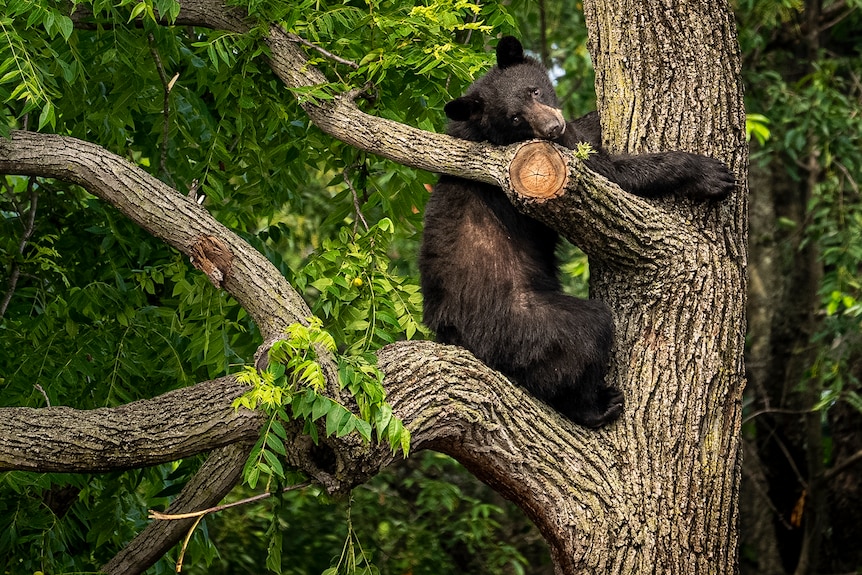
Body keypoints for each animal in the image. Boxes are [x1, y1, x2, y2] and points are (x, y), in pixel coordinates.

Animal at [418, 37, 736, 428]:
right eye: (515, 117)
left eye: (535, 90)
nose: (552, 127)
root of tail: (452, 334)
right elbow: (611, 175)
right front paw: (709, 174)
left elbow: (584, 137)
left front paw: (591, 117)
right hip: (524, 322)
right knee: (584, 336)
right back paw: (597, 405)